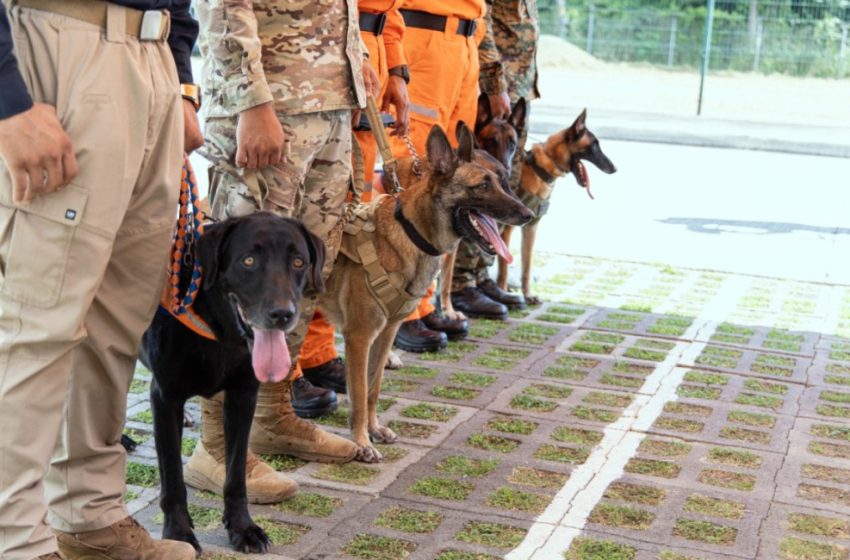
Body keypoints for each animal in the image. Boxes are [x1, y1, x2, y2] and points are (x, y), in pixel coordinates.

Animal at [139, 211, 324, 556]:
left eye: (298, 262)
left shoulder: (243, 395)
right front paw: (178, 533)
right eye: (248, 260)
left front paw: (243, 528)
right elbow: (172, 477)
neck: (219, 331)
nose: (282, 314)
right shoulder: (165, 397)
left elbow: (236, 474)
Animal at [318, 122, 528, 460]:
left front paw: (374, 430)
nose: (527, 214)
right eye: (482, 186)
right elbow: (359, 395)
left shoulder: (386, 332)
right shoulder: (359, 337)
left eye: (499, 181)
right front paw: (362, 443)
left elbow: (373, 388)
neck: (411, 232)